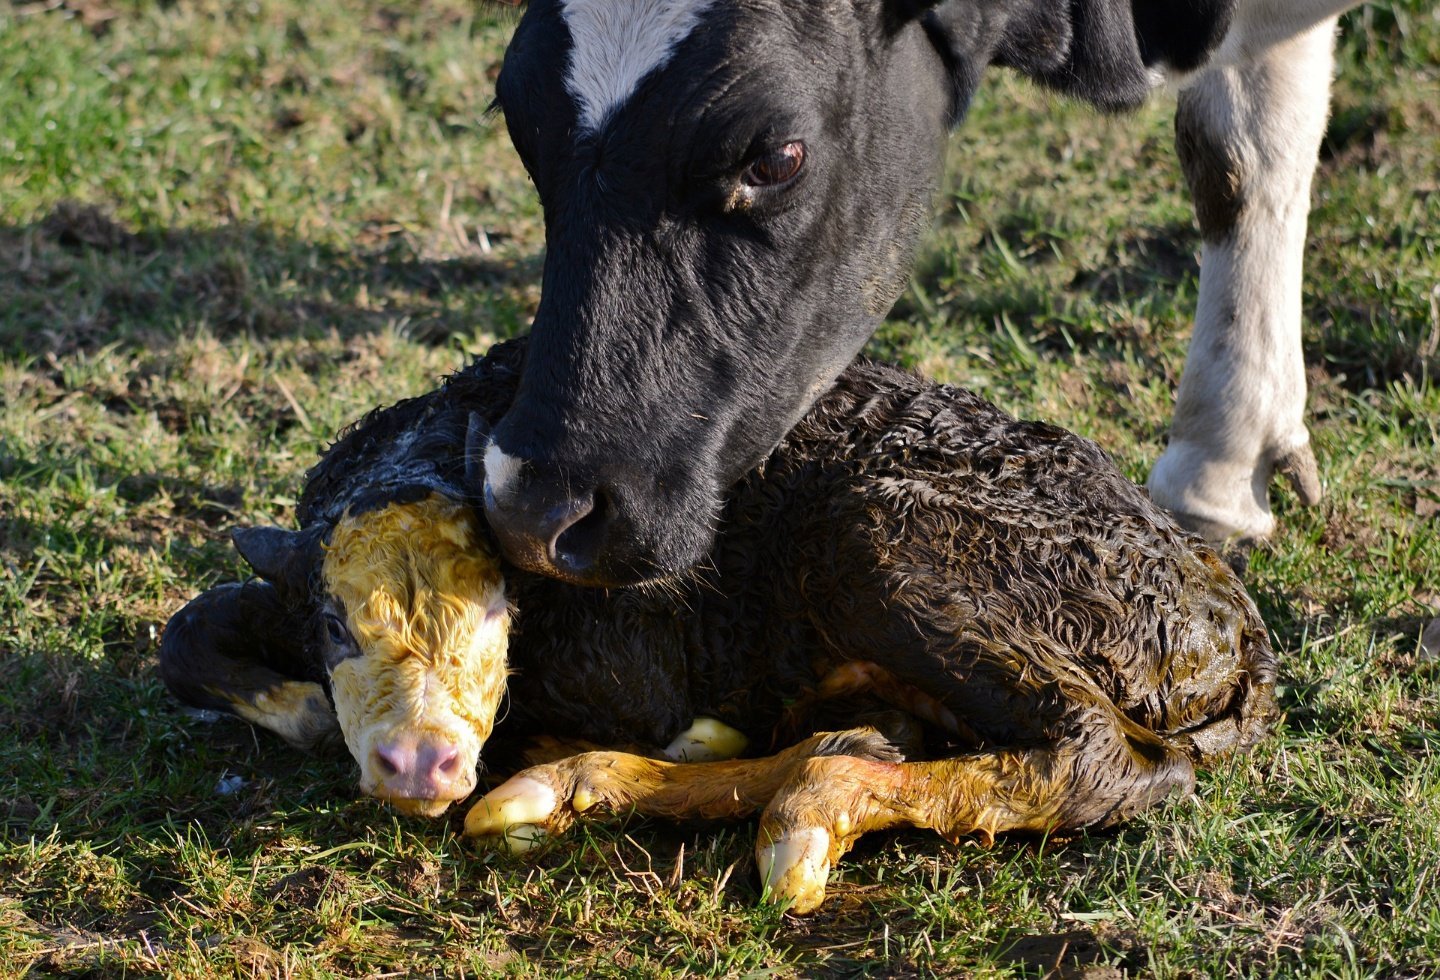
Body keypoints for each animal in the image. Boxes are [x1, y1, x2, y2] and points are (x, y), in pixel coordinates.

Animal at [160, 337, 1276, 912]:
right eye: (338, 623)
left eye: (498, 610)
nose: (419, 762)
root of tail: (1221, 600)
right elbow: (188, 627)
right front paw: (307, 706)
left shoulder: (635, 666)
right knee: (880, 731)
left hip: (889, 541)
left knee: (1099, 757)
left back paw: (802, 812)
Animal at [479, 0, 1348, 589]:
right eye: (515, 117)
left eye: (777, 158)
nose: (535, 511)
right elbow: (1237, 151)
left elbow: (1242, 152)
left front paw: (1220, 462)